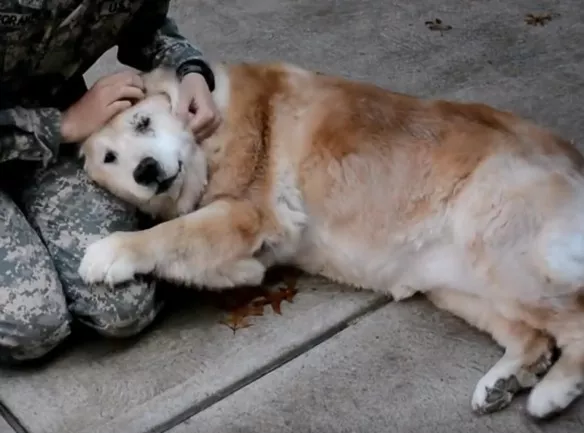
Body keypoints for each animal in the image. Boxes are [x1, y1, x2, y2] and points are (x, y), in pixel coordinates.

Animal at [76, 61, 584, 418]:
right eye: (109, 157)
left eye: (143, 123)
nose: (145, 171)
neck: (211, 135)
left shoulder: (248, 214)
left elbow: (170, 233)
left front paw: (108, 251)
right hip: (461, 287)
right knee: (534, 338)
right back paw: (506, 380)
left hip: (501, 248)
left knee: (576, 322)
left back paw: (554, 392)